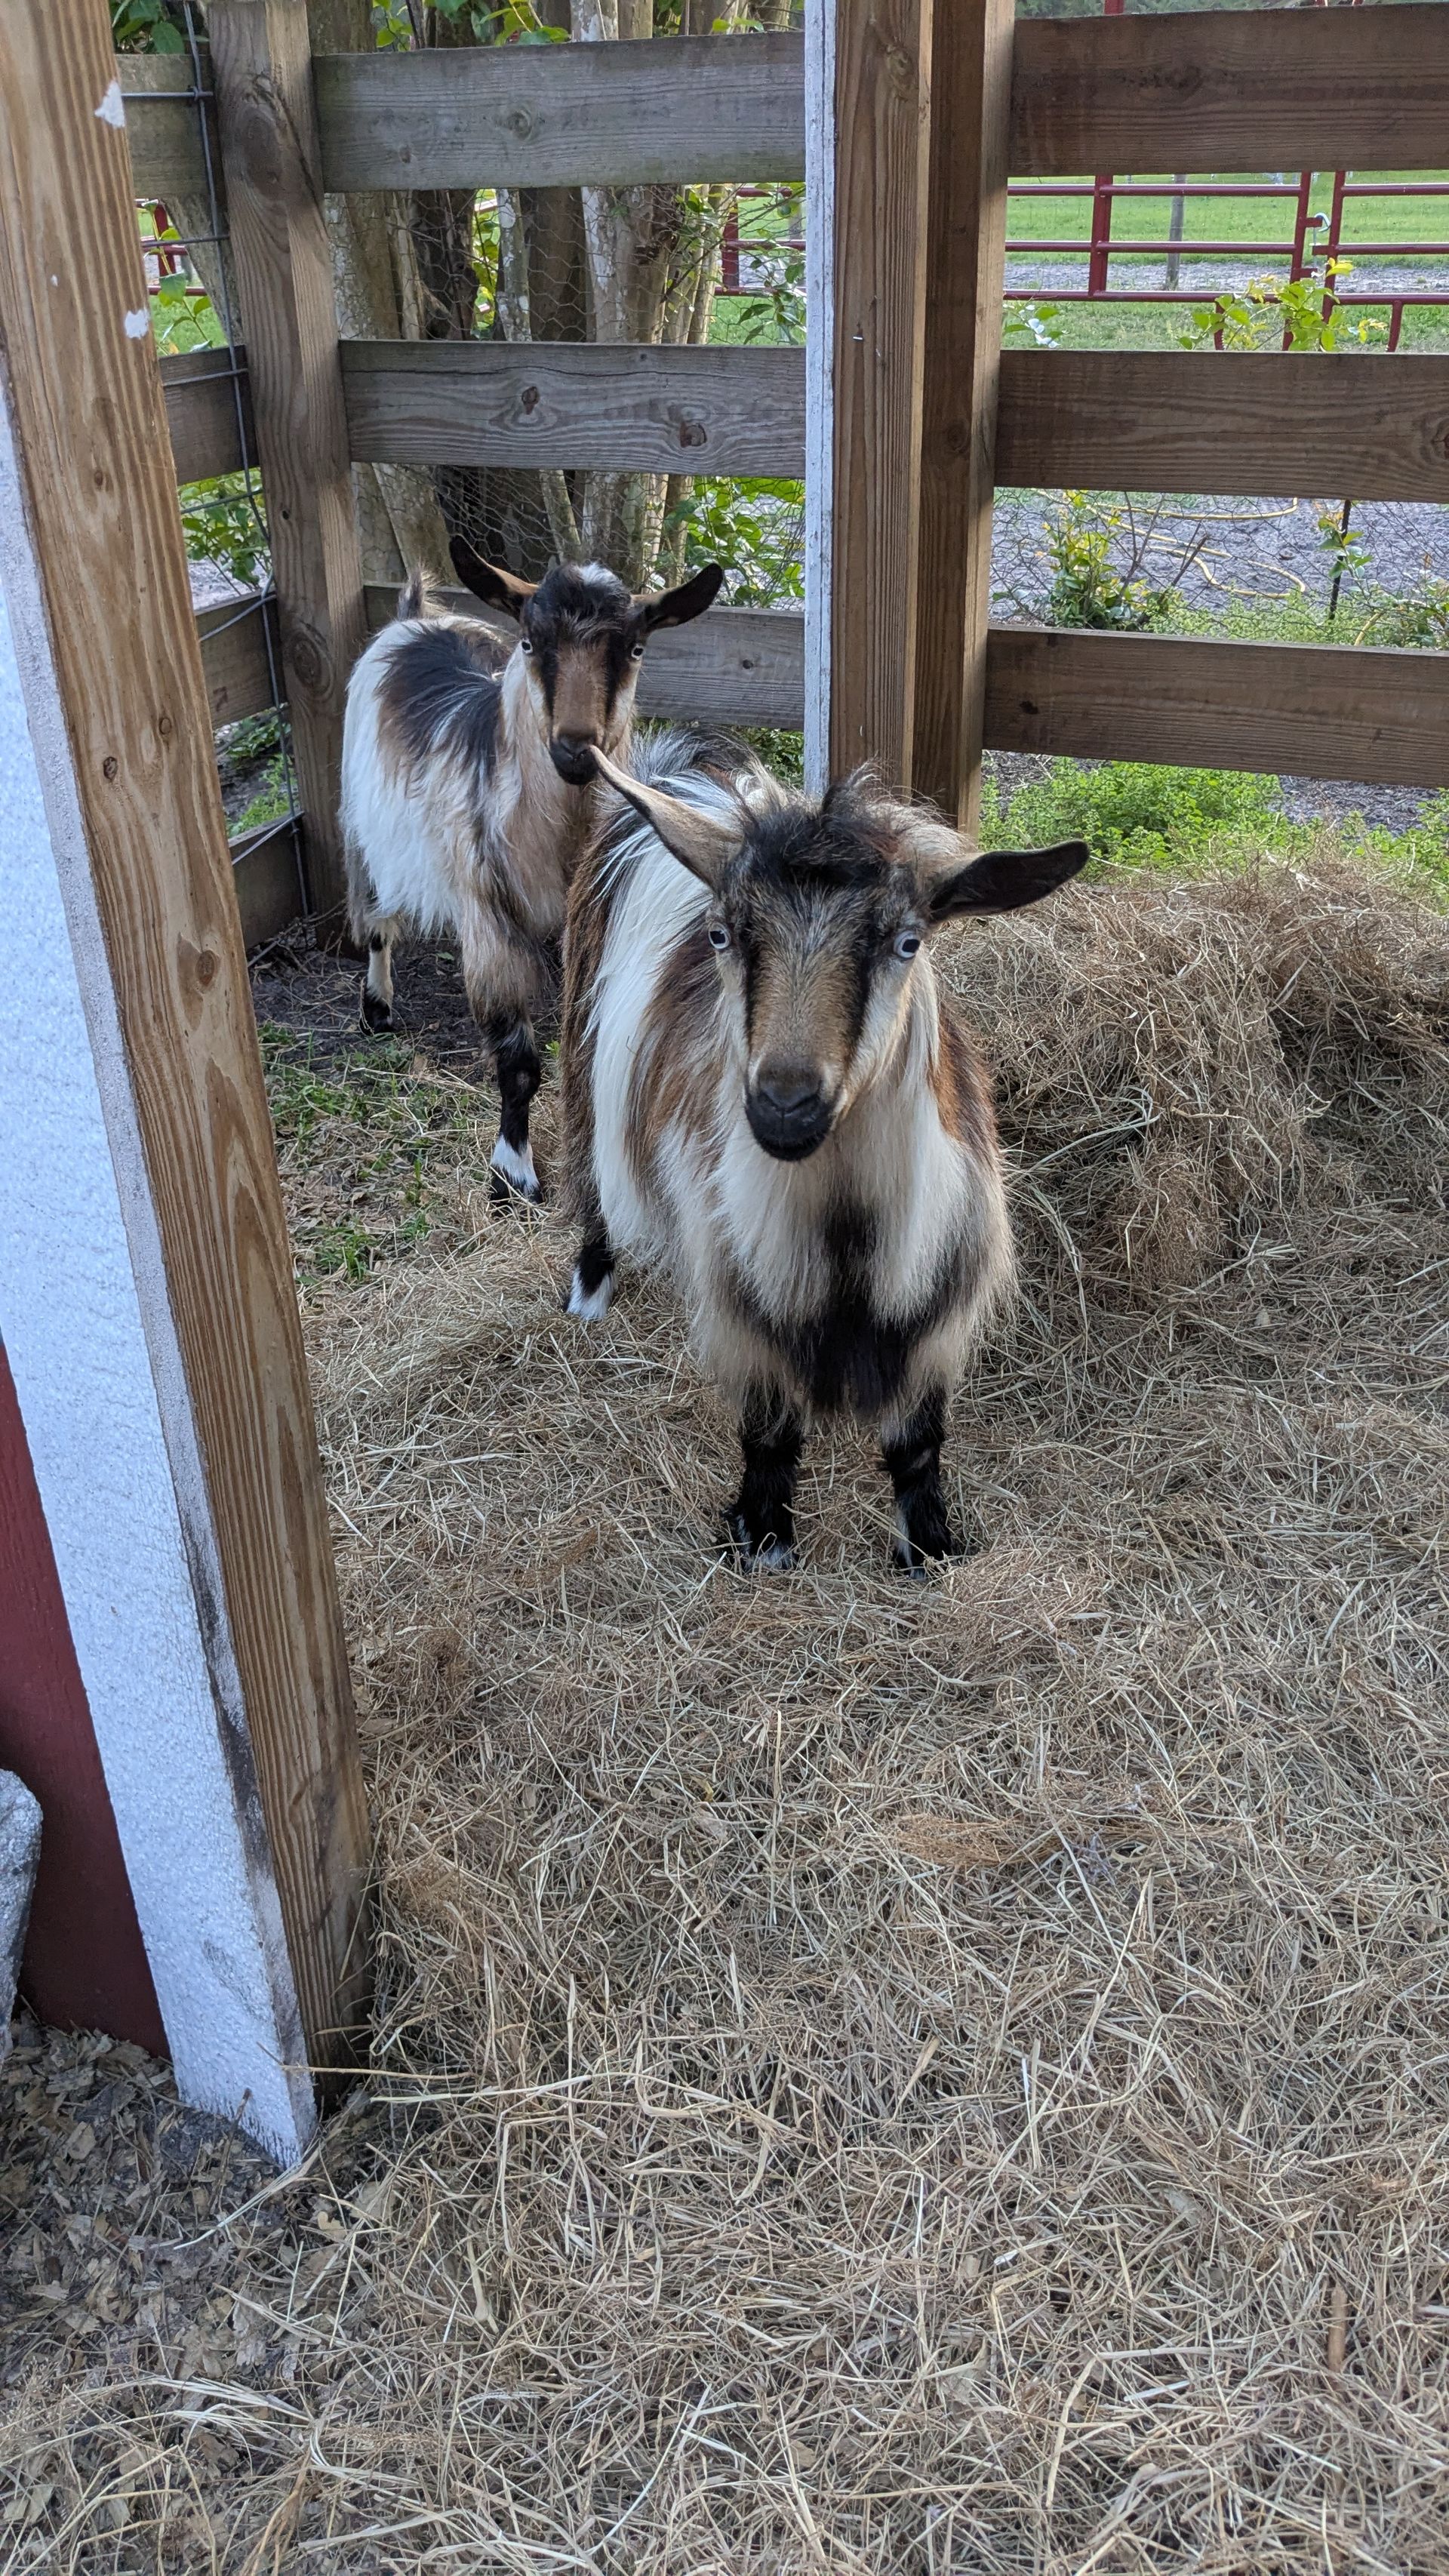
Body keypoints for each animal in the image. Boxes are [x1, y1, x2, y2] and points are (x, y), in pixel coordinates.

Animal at [340, 542, 723, 1202]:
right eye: (529, 641)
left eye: (635, 648)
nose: (574, 747)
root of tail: (413, 617)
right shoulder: (490, 917)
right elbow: (517, 1063)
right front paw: (512, 1170)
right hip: (362, 830)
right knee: (376, 921)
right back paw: (378, 1008)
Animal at [561, 732, 1088, 1570]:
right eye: (722, 933)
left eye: (907, 941)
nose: (784, 1103)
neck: (845, 1229)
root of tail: (688, 783)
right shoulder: (744, 1301)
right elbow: (768, 1430)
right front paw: (763, 1536)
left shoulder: (935, 1313)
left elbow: (918, 1441)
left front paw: (930, 1545)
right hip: (579, 1062)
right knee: (588, 1174)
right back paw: (589, 1291)